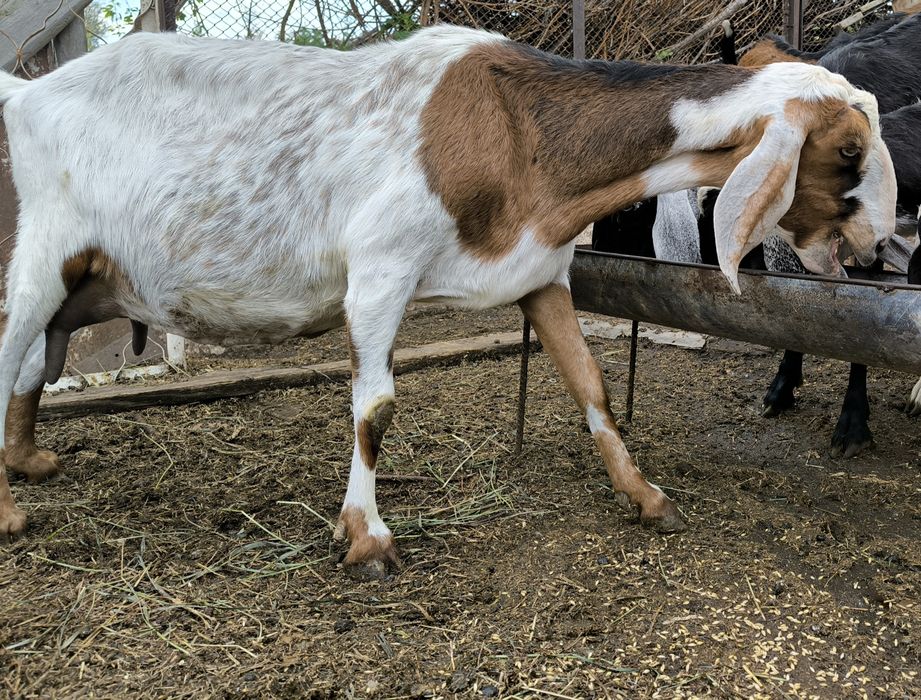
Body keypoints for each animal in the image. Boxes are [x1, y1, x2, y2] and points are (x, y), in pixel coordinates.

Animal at [0, 28, 896, 569]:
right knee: (12, 351)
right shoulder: (379, 268)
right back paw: (9, 510)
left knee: (32, 369)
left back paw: (26, 461)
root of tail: (28, 91)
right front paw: (367, 536)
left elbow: (591, 386)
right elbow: (375, 408)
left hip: (78, 280)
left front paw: (645, 497)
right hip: (41, 248)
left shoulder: (539, 275)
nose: (881, 239)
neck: (520, 131)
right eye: (849, 150)